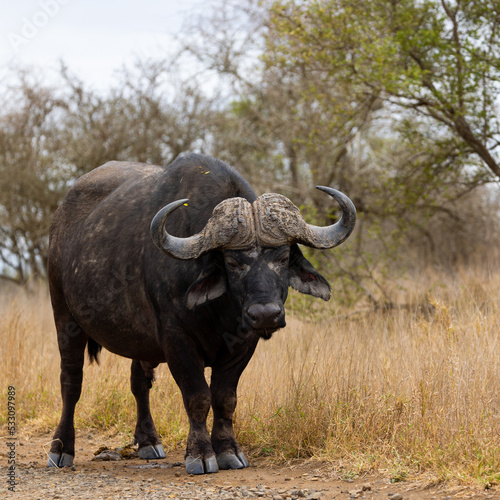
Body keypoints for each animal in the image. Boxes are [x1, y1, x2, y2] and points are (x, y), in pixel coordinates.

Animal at [45, 152, 354, 472]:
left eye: (282, 258)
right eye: (232, 262)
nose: (265, 314)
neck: (219, 313)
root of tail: (59, 223)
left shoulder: (244, 343)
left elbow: (225, 398)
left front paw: (229, 450)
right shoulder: (177, 340)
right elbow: (197, 397)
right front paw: (201, 454)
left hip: (140, 341)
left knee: (139, 383)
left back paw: (148, 441)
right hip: (65, 318)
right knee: (71, 382)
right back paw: (61, 449)